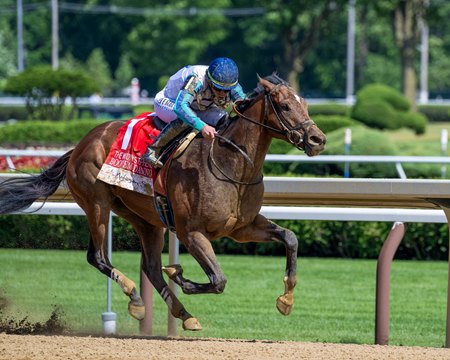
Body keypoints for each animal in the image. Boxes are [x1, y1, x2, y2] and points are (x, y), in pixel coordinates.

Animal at [0, 74, 326, 332]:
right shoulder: (191, 232)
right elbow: (218, 279)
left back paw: (183, 314)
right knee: (98, 257)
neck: (229, 164)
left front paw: (286, 299)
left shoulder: (241, 227)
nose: (317, 139)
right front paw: (180, 275)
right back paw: (135, 296)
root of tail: (81, 143)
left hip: (145, 218)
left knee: (151, 267)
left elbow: (290, 237)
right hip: (96, 203)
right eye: (285, 106)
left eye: (306, 105)